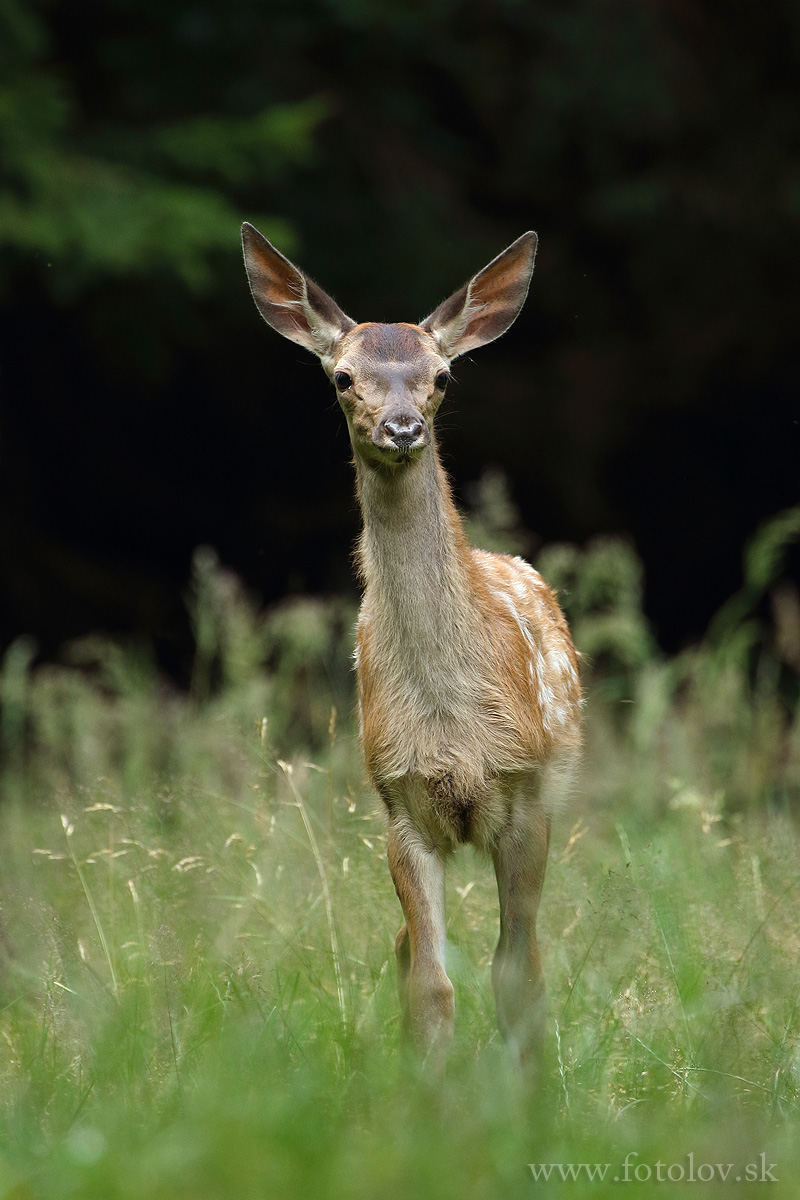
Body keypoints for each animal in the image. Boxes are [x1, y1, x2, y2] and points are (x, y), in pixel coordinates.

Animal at [241, 225, 585, 1070]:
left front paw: (530, 1097)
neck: (451, 720)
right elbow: (432, 980)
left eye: (441, 376)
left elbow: (518, 974)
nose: (401, 427)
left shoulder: (526, 793)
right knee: (403, 947)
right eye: (341, 377)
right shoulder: (397, 799)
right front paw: (427, 1093)